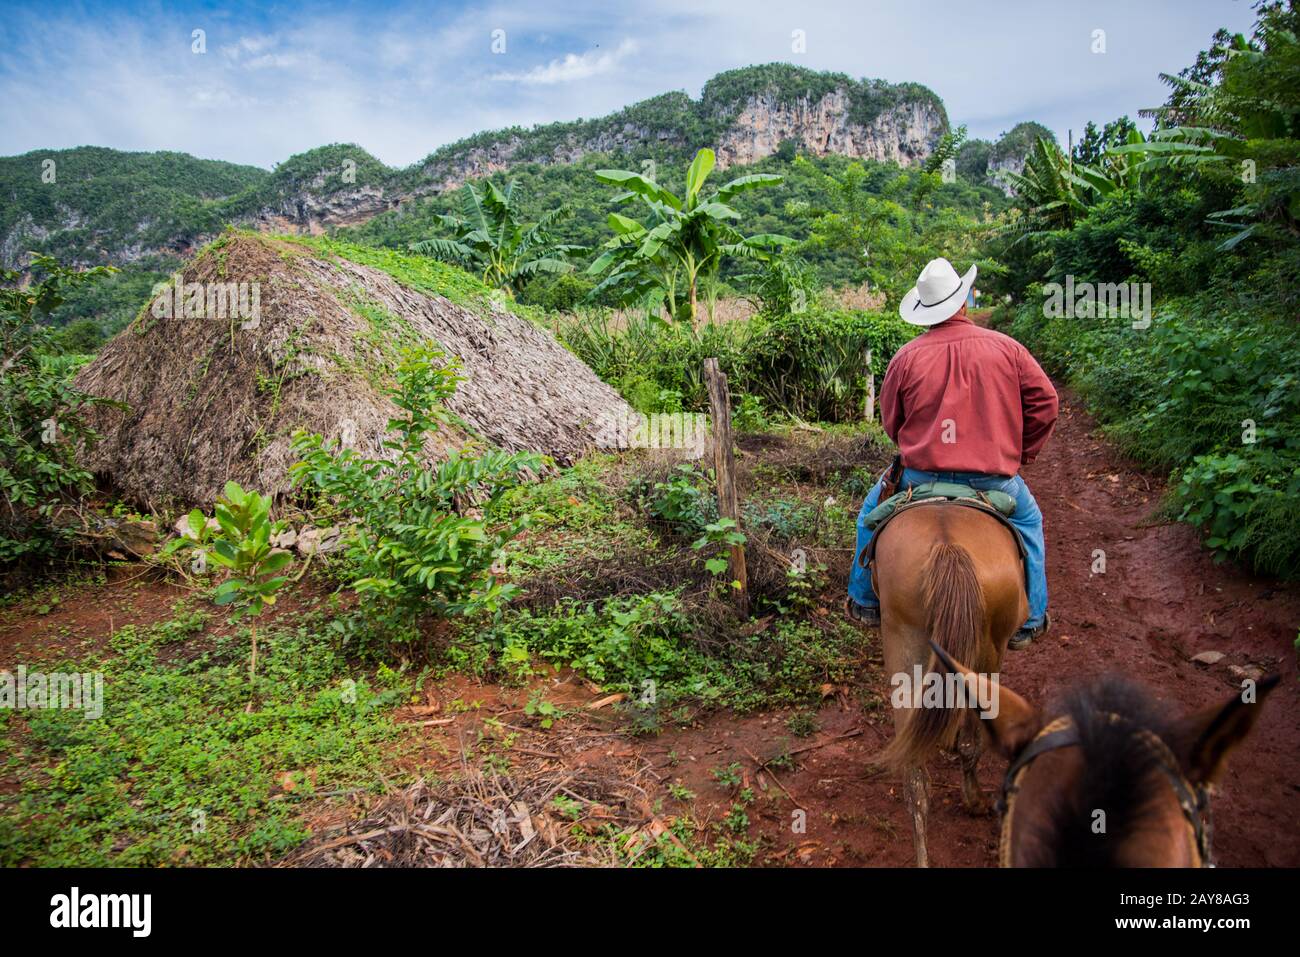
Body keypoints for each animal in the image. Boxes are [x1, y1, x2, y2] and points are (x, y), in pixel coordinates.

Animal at [873, 501, 1024, 868]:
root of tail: (947, 544)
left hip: (903, 639)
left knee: (915, 778)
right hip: (990, 649)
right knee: (973, 732)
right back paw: (975, 800)